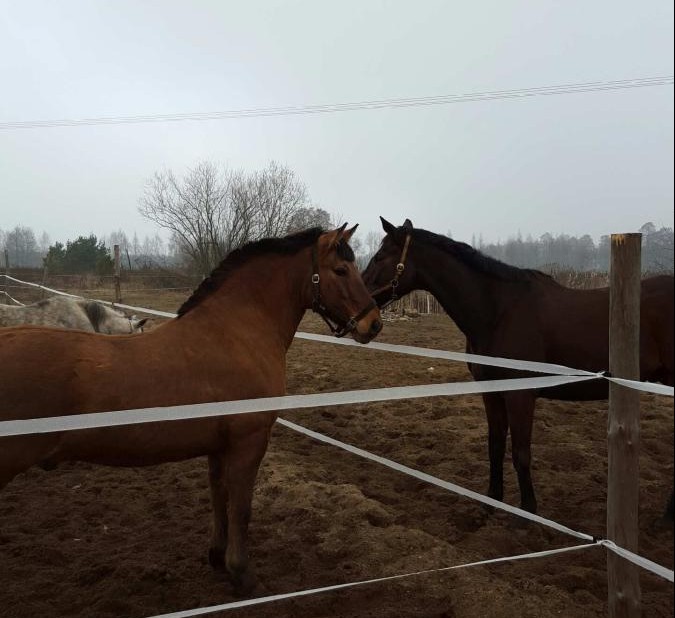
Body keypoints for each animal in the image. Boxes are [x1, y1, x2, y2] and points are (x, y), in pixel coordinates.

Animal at [0, 225, 382, 592]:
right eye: (341, 269)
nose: (374, 323)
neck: (236, 332)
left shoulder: (219, 447)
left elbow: (219, 496)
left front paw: (217, 557)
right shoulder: (249, 441)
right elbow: (241, 506)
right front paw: (242, 574)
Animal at [364, 219, 675, 516]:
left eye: (380, 256)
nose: (362, 311)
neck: (499, 311)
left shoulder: (520, 394)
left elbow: (521, 452)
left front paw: (527, 511)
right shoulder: (491, 390)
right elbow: (495, 445)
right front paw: (492, 501)